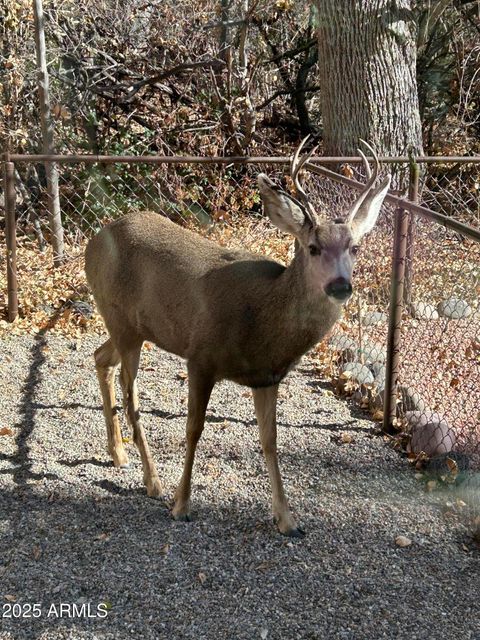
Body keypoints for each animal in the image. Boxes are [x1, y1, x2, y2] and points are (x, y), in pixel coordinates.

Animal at [85, 139, 390, 536]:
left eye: (355, 247)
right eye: (312, 247)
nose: (340, 286)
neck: (263, 320)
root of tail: (91, 244)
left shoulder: (267, 376)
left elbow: (270, 441)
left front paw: (287, 519)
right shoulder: (200, 356)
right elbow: (194, 429)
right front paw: (182, 505)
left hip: (131, 327)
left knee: (99, 357)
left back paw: (119, 454)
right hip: (121, 320)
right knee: (130, 393)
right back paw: (153, 482)